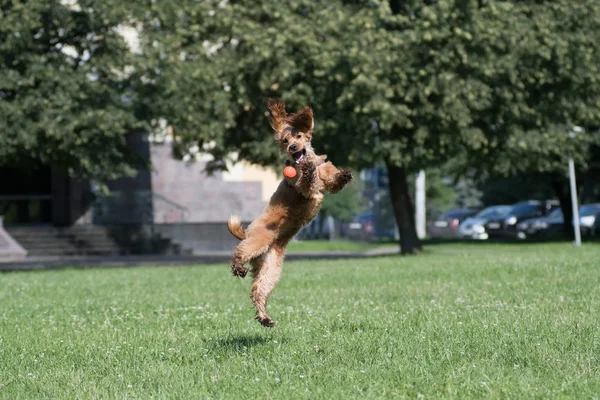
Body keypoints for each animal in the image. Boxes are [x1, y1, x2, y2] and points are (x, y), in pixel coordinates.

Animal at [227, 98, 354, 326]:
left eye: (299, 136)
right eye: (285, 140)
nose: (293, 147)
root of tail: (246, 232)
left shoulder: (327, 178)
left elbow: (331, 179)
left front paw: (343, 174)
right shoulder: (303, 188)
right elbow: (308, 182)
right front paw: (309, 170)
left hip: (271, 267)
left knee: (258, 289)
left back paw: (264, 318)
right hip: (259, 239)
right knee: (240, 251)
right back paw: (238, 266)